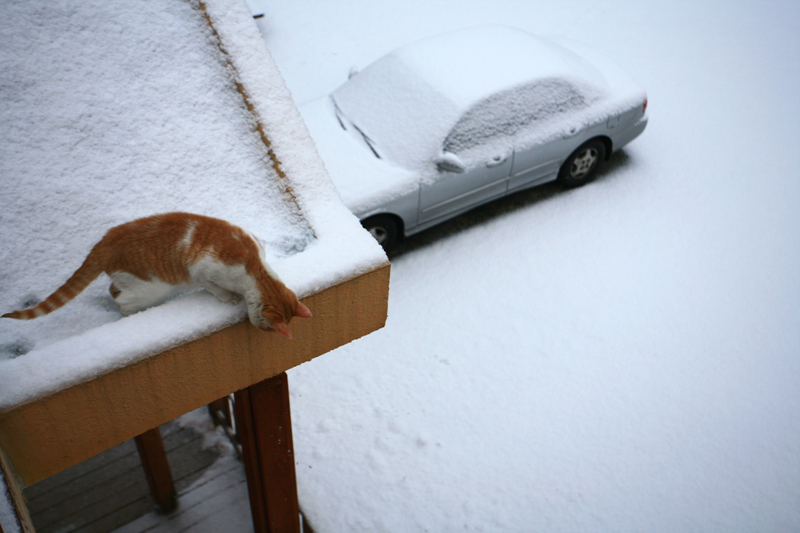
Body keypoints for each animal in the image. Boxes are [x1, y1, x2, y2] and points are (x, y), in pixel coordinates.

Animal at [1, 211, 310, 336]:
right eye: (266, 328)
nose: (259, 329)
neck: (256, 269)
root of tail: (105, 241)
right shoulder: (203, 272)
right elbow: (214, 288)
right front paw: (229, 298)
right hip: (149, 288)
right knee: (119, 299)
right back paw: (130, 315)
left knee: (112, 289)